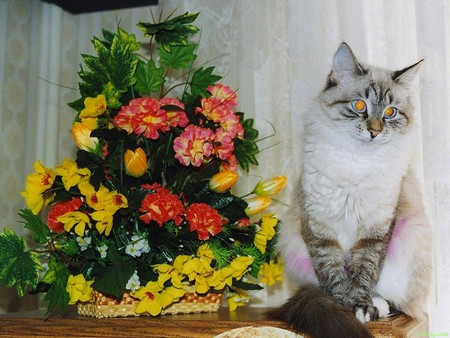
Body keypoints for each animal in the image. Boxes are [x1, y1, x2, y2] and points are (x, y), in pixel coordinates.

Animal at [268, 43, 430, 338]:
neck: (357, 161)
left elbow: (365, 272)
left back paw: (378, 306)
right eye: (360, 106)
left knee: (398, 301)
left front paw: (361, 306)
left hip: (410, 238)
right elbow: (333, 275)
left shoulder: (375, 230)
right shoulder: (320, 228)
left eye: (390, 112)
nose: (374, 132)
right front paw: (345, 306)